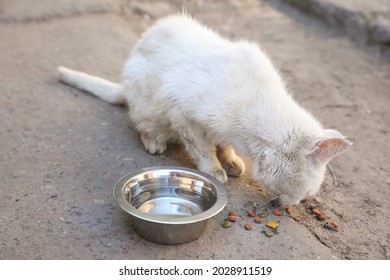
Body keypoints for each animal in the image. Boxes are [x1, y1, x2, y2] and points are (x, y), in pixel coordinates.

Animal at [58, 13, 354, 206]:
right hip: (148, 104)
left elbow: (224, 145)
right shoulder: (181, 112)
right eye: (306, 193)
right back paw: (154, 143)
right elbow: (202, 148)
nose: (291, 205)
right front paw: (214, 169)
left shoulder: (221, 131)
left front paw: (232, 161)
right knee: (142, 125)